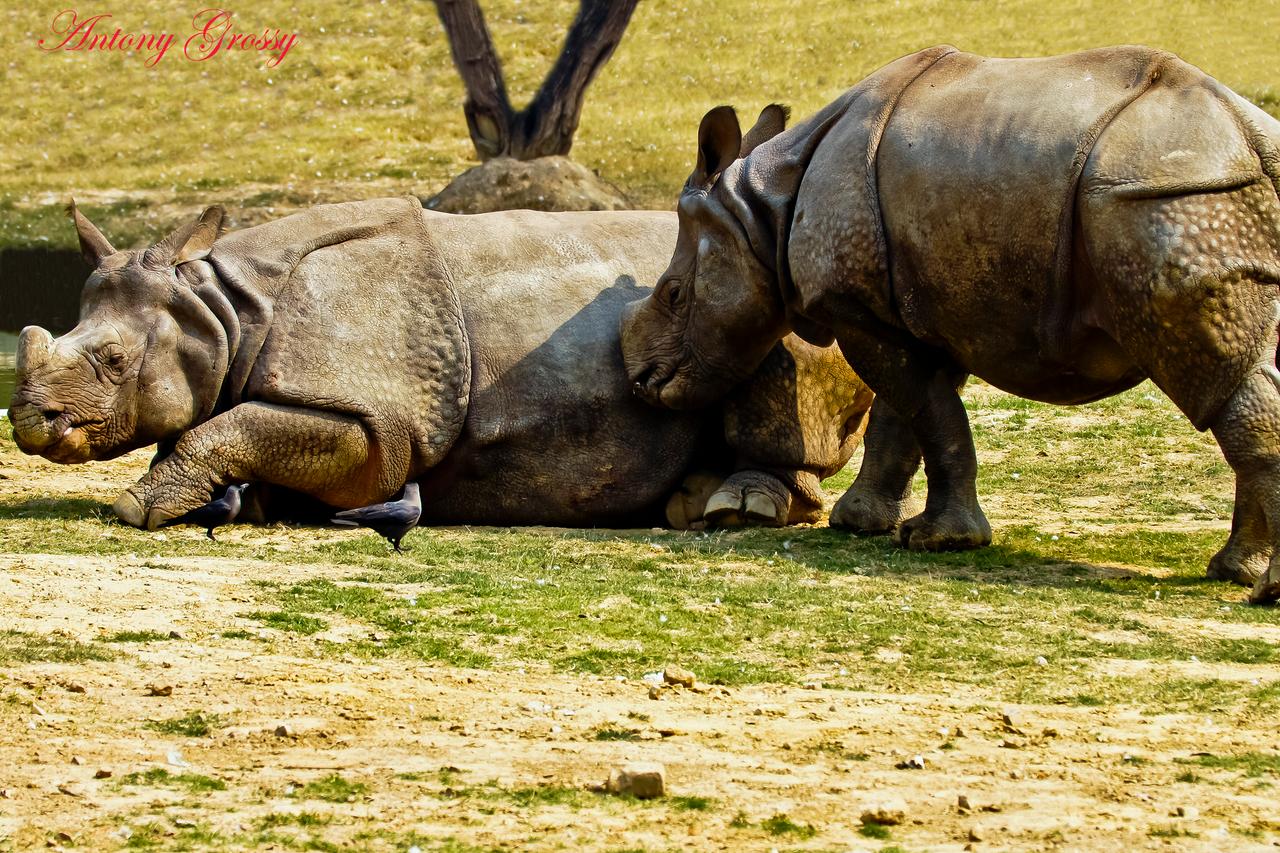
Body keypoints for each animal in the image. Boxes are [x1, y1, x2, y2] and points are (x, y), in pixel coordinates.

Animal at [8, 197, 872, 531]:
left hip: (762, 287)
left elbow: (226, 430)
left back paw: (729, 510)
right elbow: (222, 425)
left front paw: (135, 507)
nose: (27, 421)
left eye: (113, 359)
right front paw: (237, 504)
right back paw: (693, 502)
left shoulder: (375, 419)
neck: (222, 310)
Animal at [619, 45, 1280, 603]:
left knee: (1216, 376)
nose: (637, 377)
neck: (761, 217)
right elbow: (907, 418)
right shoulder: (915, 308)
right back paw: (1233, 572)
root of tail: (1248, 134)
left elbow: (928, 414)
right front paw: (859, 523)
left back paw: (1255, 587)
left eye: (674, 294)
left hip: (1165, 200)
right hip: (1205, 196)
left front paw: (938, 540)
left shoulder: (860, 310)